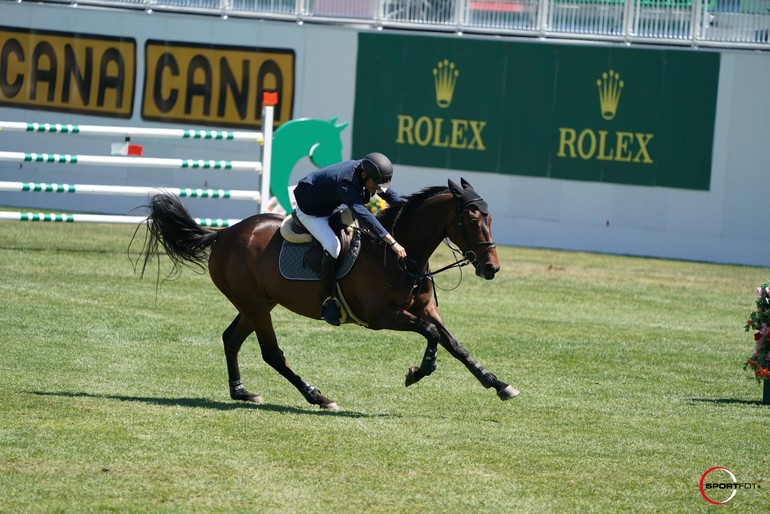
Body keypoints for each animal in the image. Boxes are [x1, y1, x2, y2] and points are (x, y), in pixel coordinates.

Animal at [141, 178, 520, 410]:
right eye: (472, 219)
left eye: (490, 219)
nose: (492, 268)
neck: (402, 255)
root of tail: (223, 234)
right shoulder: (381, 316)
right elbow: (431, 335)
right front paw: (419, 371)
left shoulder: (425, 309)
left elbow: (454, 343)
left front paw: (498, 383)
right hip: (256, 306)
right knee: (272, 354)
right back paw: (317, 396)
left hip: (258, 304)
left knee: (231, 338)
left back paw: (242, 391)